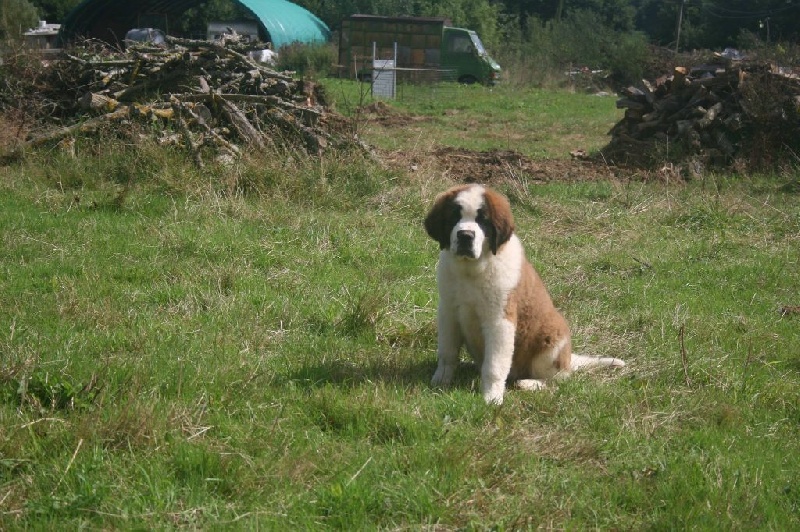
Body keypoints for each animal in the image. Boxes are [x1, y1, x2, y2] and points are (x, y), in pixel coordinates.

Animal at [424, 184, 624, 404]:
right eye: (454, 217)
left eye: (482, 220)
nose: (465, 236)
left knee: (560, 380)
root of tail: (569, 359)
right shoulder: (448, 312)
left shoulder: (500, 321)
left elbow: (494, 365)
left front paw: (492, 398)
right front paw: (440, 380)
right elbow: (447, 353)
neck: (471, 270)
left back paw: (530, 384)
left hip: (551, 342)